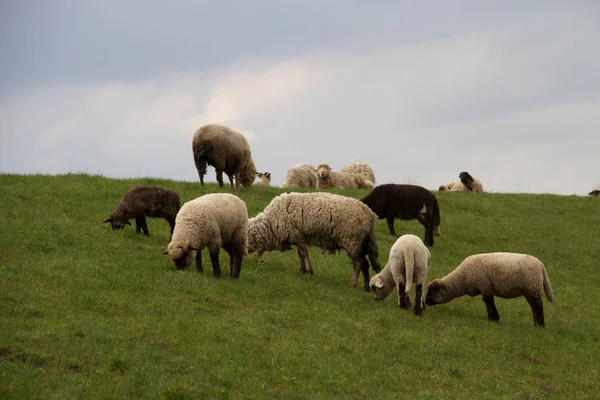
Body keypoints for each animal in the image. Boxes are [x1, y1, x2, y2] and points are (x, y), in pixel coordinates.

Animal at [247, 191, 380, 290]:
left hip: (351, 241)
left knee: (359, 263)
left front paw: (308, 271)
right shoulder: (297, 237)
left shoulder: (297, 235)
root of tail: (370, 214)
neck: (270, 225)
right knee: (365, 264)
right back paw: (366, 286)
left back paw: (353, 284)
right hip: (361, 242)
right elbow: (300, 254)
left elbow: (303, 253)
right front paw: (302, 271)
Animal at [424, 253, 556, 328]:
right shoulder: (484, 286)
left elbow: (488, 302)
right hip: (531, 289)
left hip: (531, 286)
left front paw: (493, 319)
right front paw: (493, 319)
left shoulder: (485, 285)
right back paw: (536, 324)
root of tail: (541, 266)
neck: (462, 278)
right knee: (534, 306)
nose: (425, 302)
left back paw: (540, 326)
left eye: (431, 291)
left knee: (538, 305)